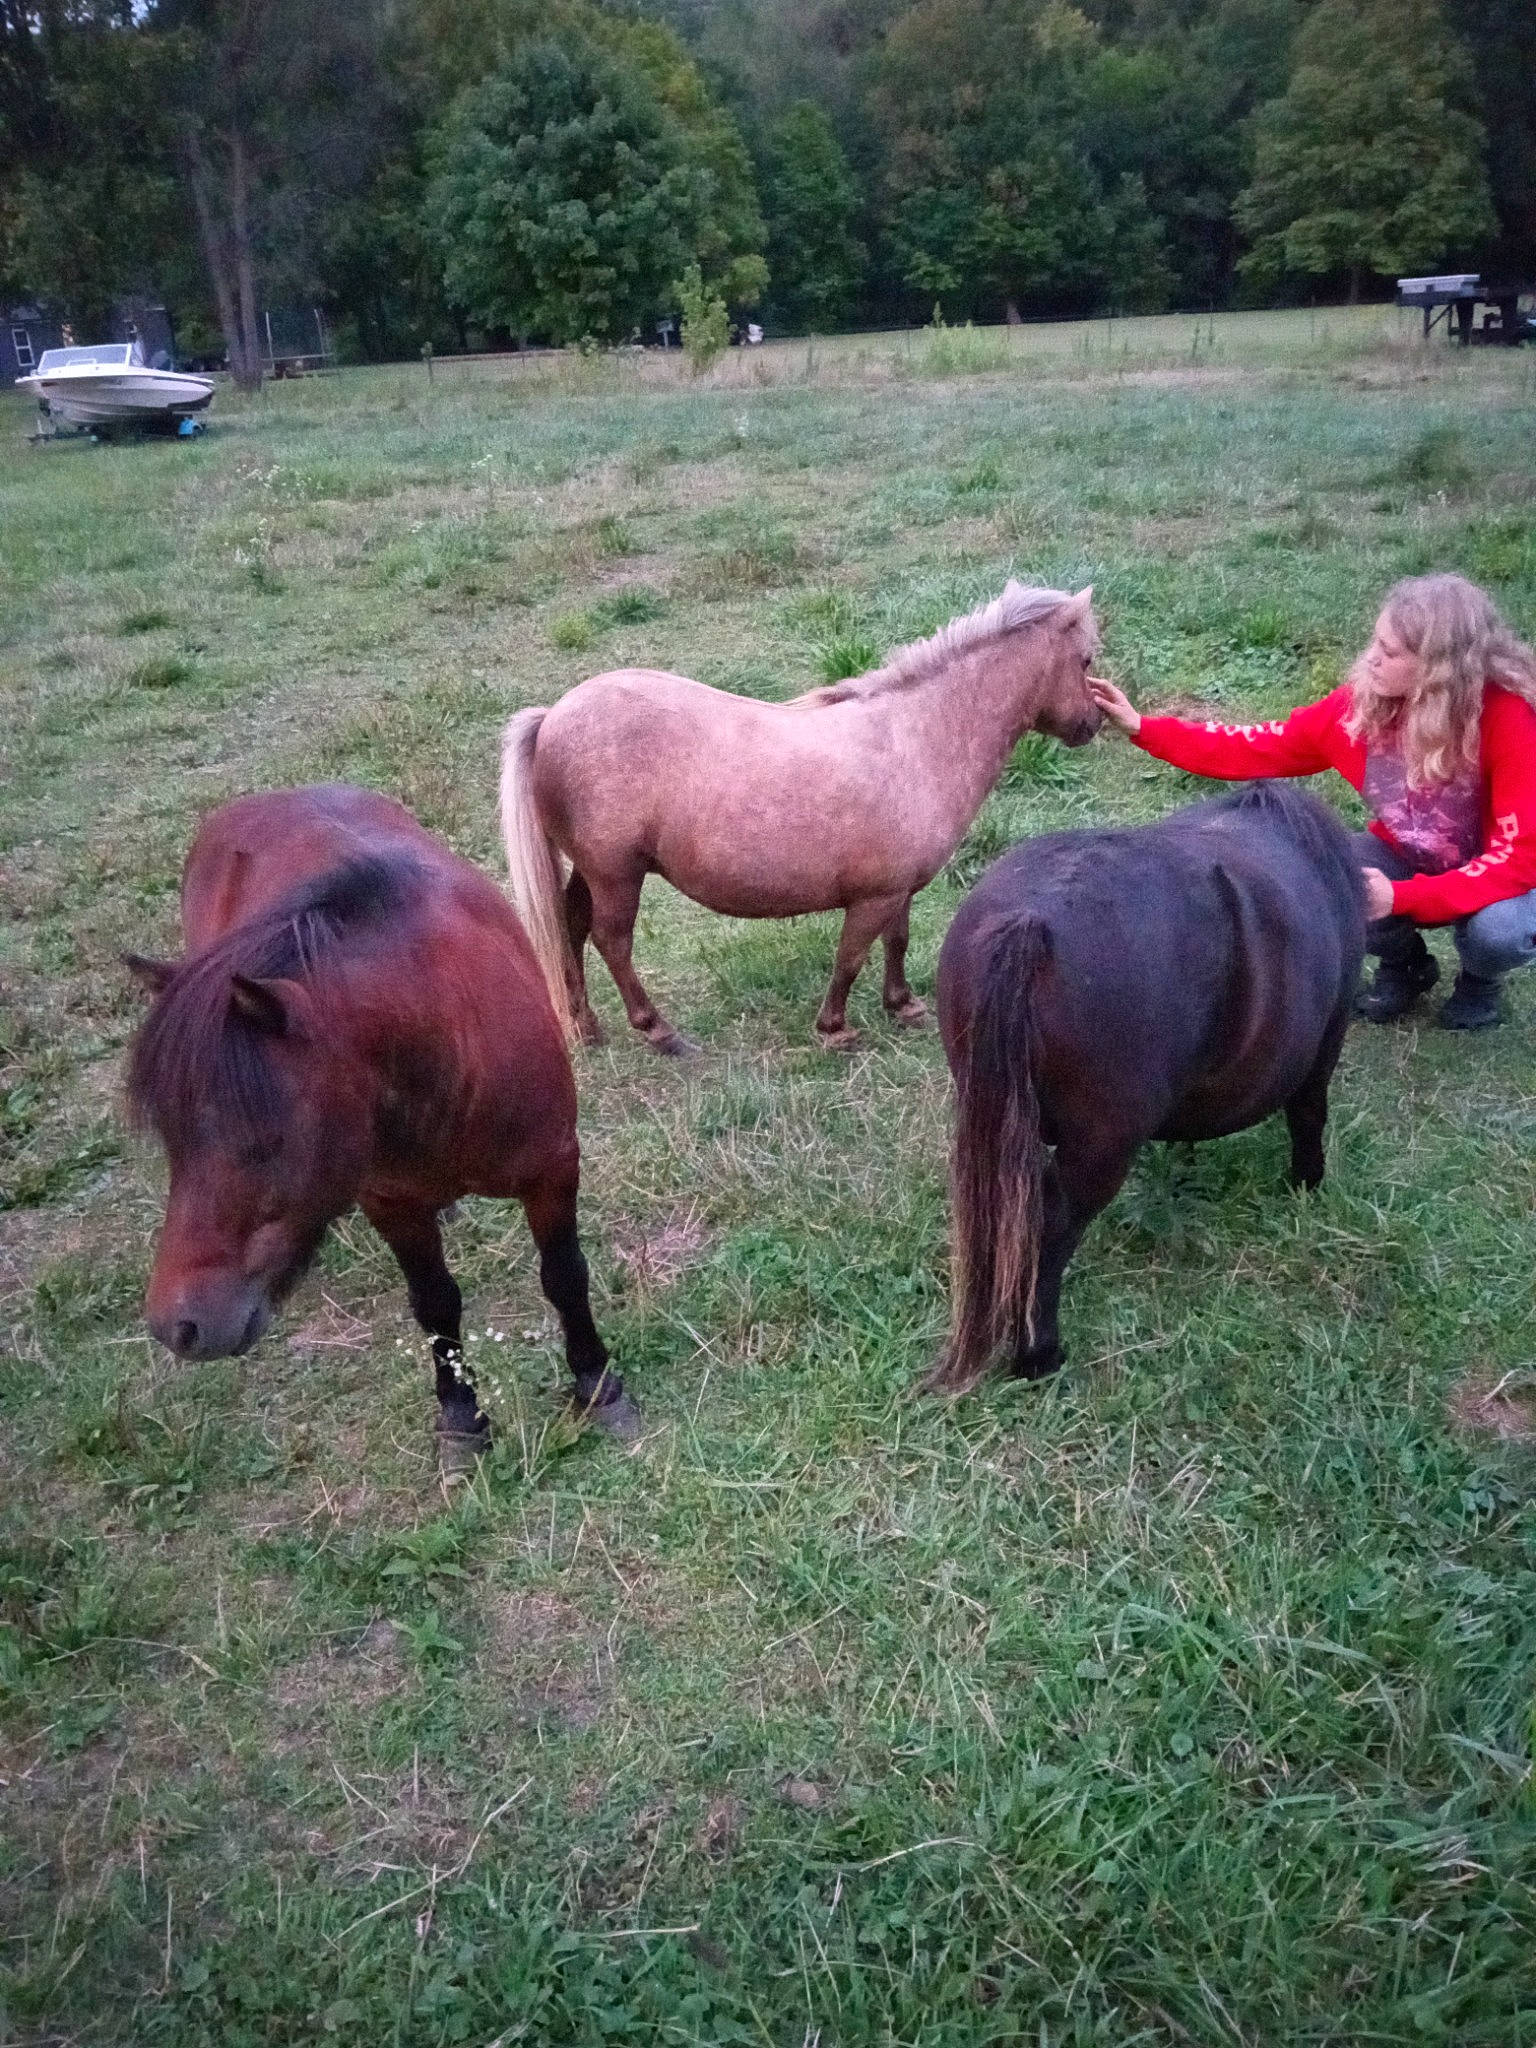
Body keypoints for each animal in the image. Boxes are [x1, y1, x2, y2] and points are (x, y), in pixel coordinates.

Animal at [123, 784, 638, 1463]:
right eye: (172, 1143)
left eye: (267, 1143)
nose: (177, 1326)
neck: (449, 1049)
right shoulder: (392, 1204)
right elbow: (435, 1304)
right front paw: (461, 1419)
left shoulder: (552, 1167)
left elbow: (564, 1277)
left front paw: (598, 1386)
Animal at [500, 581, 1102, 1054]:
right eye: (1087, 659)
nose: (1093, 723)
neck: (915, 737)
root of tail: (554, 715)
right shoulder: (873, 897)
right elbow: (850, 957)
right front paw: (835, 1029)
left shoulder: (899, 890)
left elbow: (896, 942)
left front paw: (903, 1005)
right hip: (617, 875)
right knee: (612, 941)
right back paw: (658, 1031)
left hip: (595, 872)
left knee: (572, 929)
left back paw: (586, 1026)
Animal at [929, 782, 1365, 1393]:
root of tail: (1030, 921)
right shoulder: (1326, 1042)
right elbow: (1308, 1117)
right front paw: (1306, 1184)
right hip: (1099, 1146)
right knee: (1051, 1226)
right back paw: (1039, 1353)